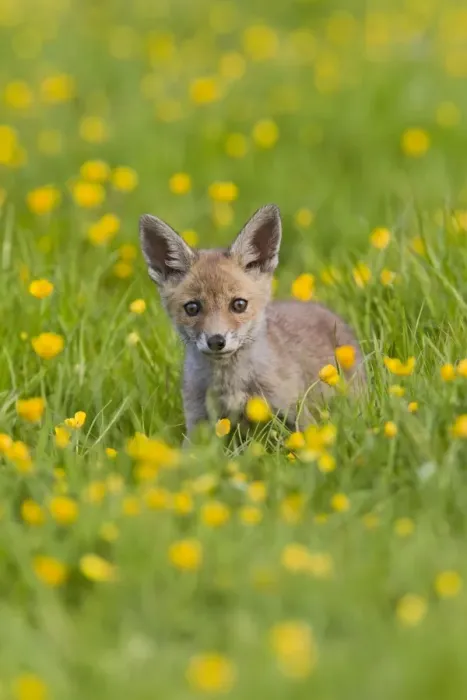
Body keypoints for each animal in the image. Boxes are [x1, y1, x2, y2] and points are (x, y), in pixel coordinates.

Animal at [139, 204, 364, 440]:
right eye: (192, 308)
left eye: (239, 305)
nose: (216, 341)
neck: (230, 384)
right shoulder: (198, 423)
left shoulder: (295, 413)